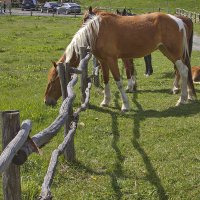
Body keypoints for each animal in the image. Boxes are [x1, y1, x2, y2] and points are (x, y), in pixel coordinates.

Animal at [44, 10, 196, 111]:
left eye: (53, 81)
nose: (46, 101)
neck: (97, 32)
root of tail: (178, 20)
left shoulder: (112, 60)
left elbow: (118, 81)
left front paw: (125, 105)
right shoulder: (103, 61)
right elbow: (106, 80)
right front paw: (106, 101)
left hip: (174, 53)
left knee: (183, 70)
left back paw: (182, 99)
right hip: (167, 51)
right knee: (181, 70)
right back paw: (184, 96)